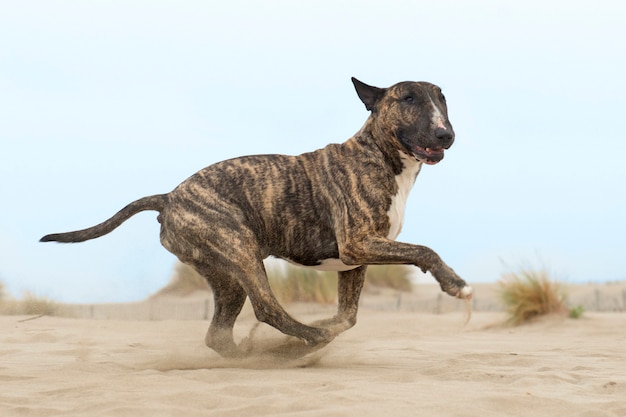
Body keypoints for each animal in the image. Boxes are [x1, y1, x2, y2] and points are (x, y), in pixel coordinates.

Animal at [42, 78, 472, 358]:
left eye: (442, 98)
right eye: (408, 97)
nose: (445, 135)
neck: (380, 155)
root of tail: (169, 197)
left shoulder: (355, 259)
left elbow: (347, 317)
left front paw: (323, 331)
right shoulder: (358, 244)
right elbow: (424, 250)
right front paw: (456, 284)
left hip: (224, 273)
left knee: (218, 334)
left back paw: (259, 354)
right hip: (241, 250)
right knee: (267, 308)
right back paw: (307, 339)